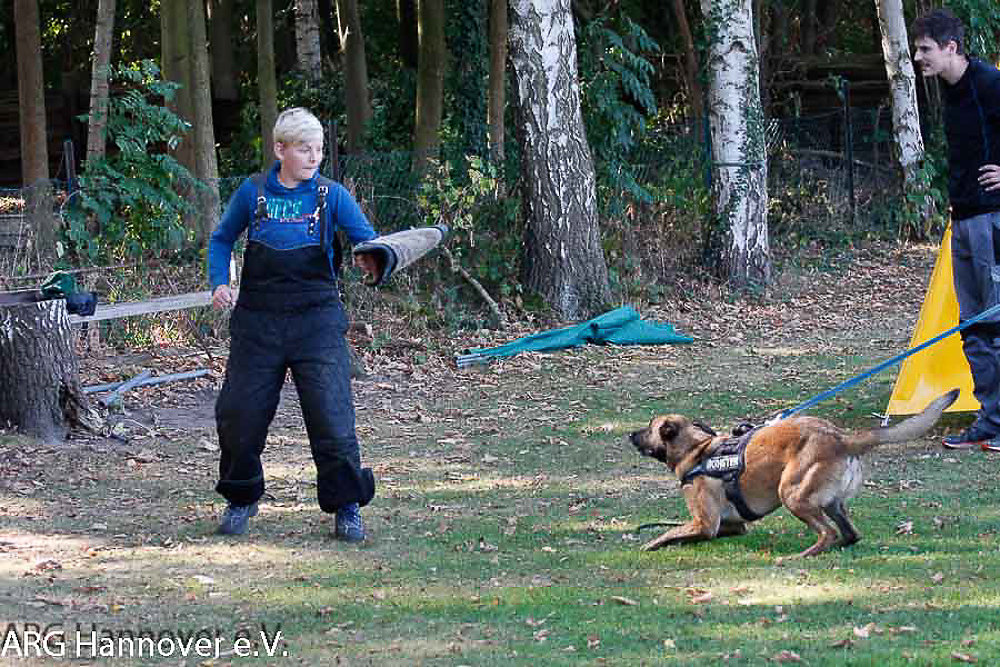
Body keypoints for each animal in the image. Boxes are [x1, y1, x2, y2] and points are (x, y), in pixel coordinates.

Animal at [632, 388, 960, 560]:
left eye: (648, 428)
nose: (630, 435)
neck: (697, 451)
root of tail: (842, 438)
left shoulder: (705, 523)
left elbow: (670, 532)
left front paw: (649, 543)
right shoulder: (732, 526)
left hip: (792, 494)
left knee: (828, 532)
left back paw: (802, 555)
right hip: (830, 503)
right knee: (849, 534)